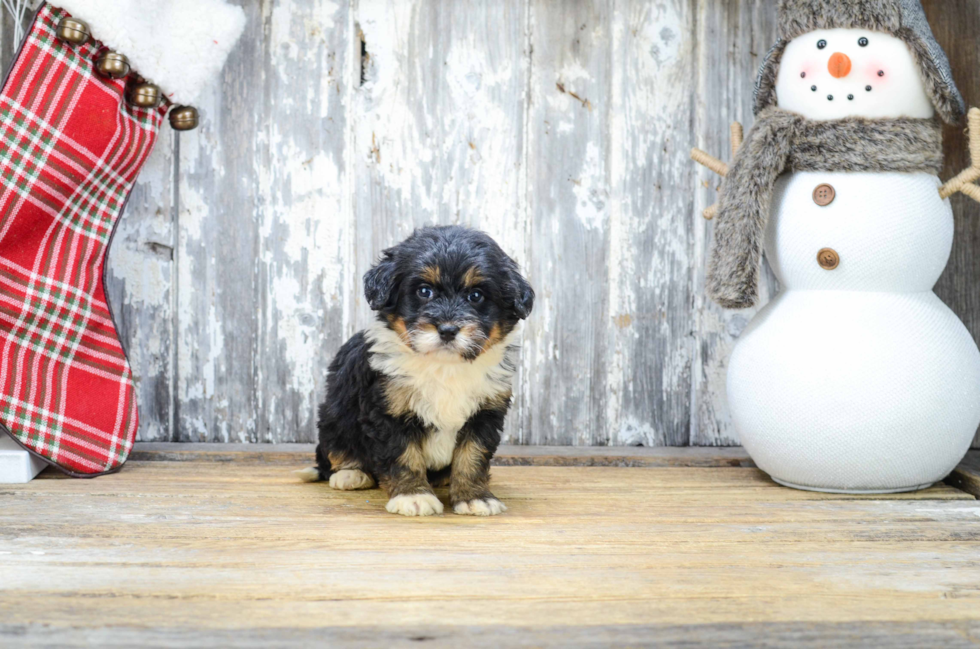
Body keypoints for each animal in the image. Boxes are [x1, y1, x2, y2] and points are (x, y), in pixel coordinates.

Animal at [298, 225, 532, 512]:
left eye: (476, 296)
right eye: (424, 291)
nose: (448, 330)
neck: (444, 365)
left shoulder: (486, 412)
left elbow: (473, 455)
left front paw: (474, 497)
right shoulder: (388, 409)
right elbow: (404, 455)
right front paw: (413, 495)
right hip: (334, 414)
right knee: (334, 449)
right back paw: (351, 473)